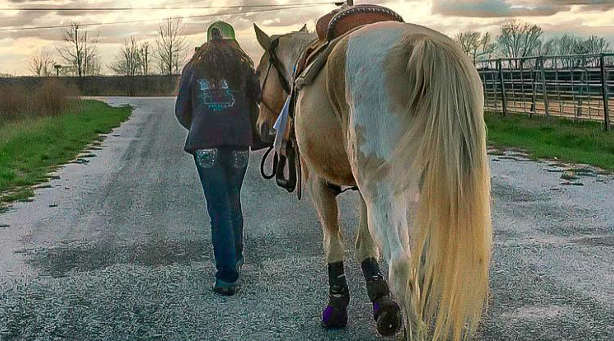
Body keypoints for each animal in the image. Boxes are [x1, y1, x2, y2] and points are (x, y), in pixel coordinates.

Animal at [253, 19, 494, 340]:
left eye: (258, 76)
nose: (261, 128)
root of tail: (419, 43)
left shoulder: (320, 184)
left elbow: (334, 243)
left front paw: (336, 307)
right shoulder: (365, 192)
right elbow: (366, 245)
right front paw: (383, 304)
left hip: (383, 195)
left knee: (401, 264)